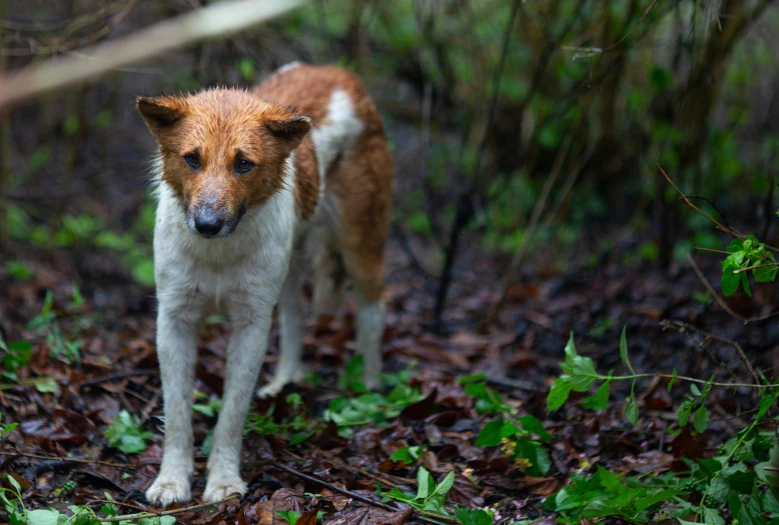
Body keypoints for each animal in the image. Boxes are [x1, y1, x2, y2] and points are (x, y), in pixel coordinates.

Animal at [136, 63, 394, 506]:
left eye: (243, 164)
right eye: (192, 159)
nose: (206, 224)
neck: (218, 253)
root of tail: (336, 73)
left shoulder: (250, 324)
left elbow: (231, 412)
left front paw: (224, 482)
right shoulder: (174, 320)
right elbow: (178, 414)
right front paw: (171, 481)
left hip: (359, 249)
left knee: (373, 311)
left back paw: (370, 389)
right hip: (288, 268)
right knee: (295, 316)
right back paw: (283, 383)